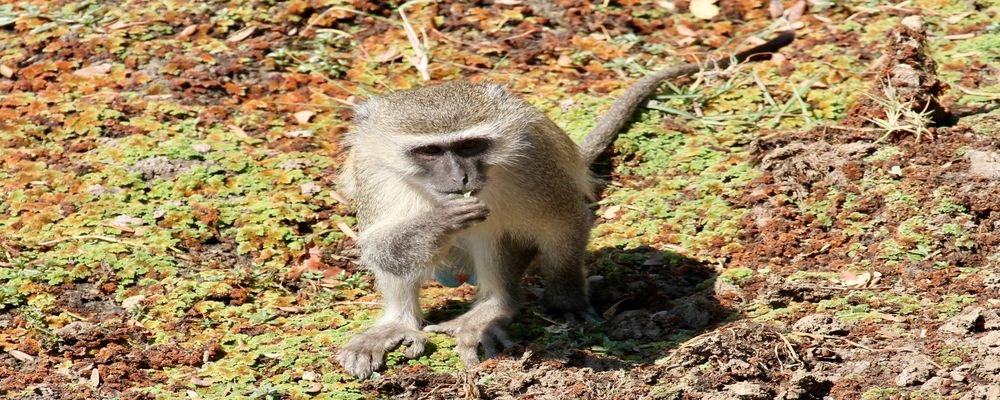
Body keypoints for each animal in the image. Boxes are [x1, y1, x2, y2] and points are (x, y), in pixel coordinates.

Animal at [340, 29, 792, 376]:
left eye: (470, 145)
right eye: (430, 152)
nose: (460, 178)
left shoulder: (532, 161)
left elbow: (563, 222)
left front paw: (566, 298)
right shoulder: (372, 170)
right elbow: (377, 246)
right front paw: (438, 222)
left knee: (495, 234)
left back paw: (493, 309)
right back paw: (398, 323)